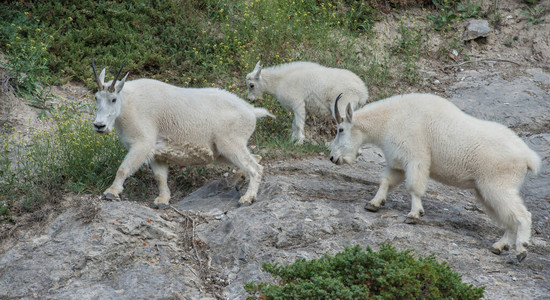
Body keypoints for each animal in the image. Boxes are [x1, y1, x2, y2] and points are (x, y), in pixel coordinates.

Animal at [91, 59, 274, 207]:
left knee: (255, 167)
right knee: (255, 158)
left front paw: (111, 192)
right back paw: (238, 181)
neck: (127, 103)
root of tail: (251, 111)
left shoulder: (142, 143)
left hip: (230, 143)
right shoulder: (157, 151)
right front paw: (162, 201)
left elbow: (123, 168)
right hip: (223, 151)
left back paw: (247, 198)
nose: (99, 125)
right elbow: (160, 177)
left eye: (113, 99)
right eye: (96, 98)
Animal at [332, 92, 544, 262]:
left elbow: (414, 187)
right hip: (485, 190)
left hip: (498, 185)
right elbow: (385, 181)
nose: (333, 157)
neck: (389, 119)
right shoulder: (399, 163)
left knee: (522, 215)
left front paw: (414, 214)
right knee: (509, 218)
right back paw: (498, 246)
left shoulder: (415, 157)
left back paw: (521, 249)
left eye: (340, 129)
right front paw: (373, 204)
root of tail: (528, 157)